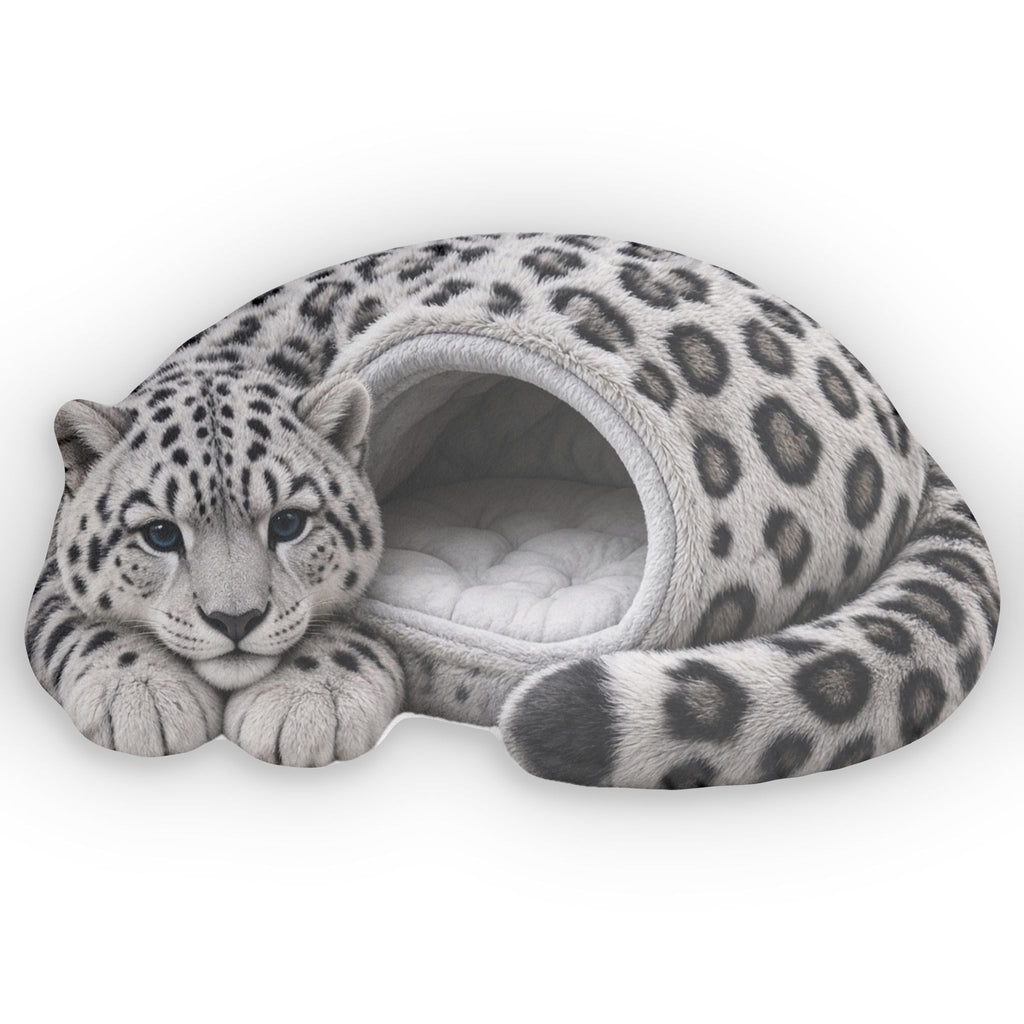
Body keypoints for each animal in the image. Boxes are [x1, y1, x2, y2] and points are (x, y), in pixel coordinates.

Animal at [25, 233, 1000, 786]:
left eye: (289, 522)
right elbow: (76, 619)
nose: (235, 619)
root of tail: (903, 427)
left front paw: (305, 701)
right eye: (160, 533)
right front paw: (145, 693)